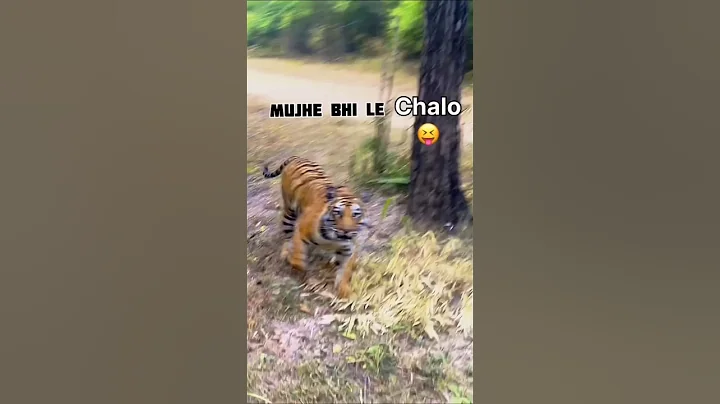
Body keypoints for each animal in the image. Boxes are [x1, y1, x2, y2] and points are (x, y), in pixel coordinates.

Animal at [262, 156, 370, 299]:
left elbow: (345, 272)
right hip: (289, 212)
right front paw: (297, 266)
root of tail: (297, 157)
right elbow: (298, 260)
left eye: (355, 214)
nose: (346, 231)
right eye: (338, 213)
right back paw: (285, 253)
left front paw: (345, 291)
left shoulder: (348, 249)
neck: (334, 238)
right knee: (287, 236)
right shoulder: (301, 231)